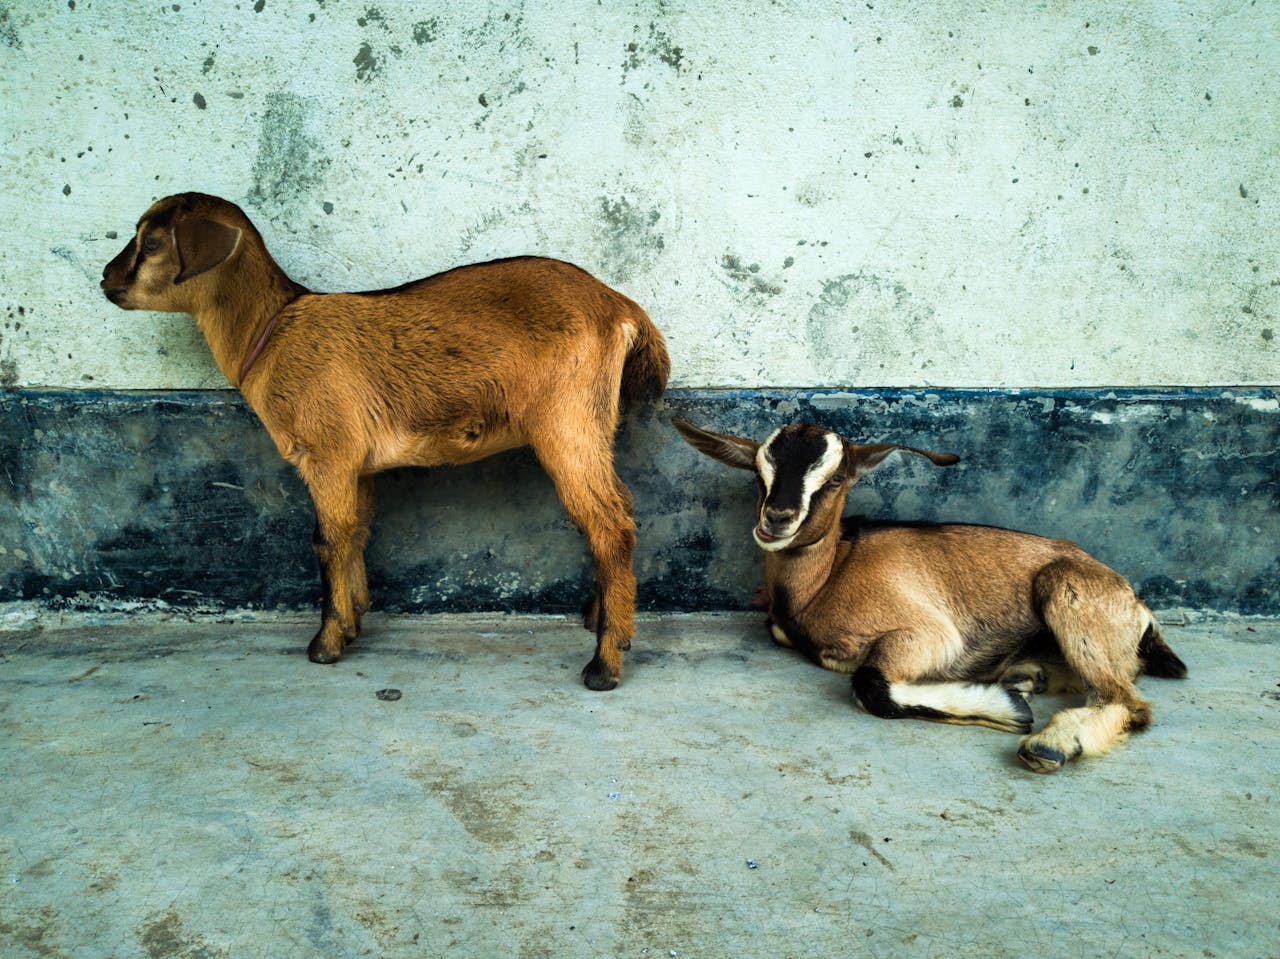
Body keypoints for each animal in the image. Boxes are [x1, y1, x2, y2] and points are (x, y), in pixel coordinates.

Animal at [100, 192, 669, 690]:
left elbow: (326, 539)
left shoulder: (327, 453)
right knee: (618, 512)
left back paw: (605, 661)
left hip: (566, 420)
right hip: (593, 421)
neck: (272, 332)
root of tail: (619, 307)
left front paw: (326, 643)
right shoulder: (356, 463)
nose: (105, 278)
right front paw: (353, 622)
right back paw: (602, 617)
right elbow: (355, 532)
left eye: (152, 242)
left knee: (609, 525)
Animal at [673, 418, 1186, 773]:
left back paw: (1050, 741)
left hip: (1068, 594)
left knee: (1127, 700)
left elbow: (871, 684)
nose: (776, 519)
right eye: (760, 473)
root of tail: (1135, 604)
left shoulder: (929, 633)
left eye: (836, 479)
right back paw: (1025, 675)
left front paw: (1008, 710)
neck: (824, 581)